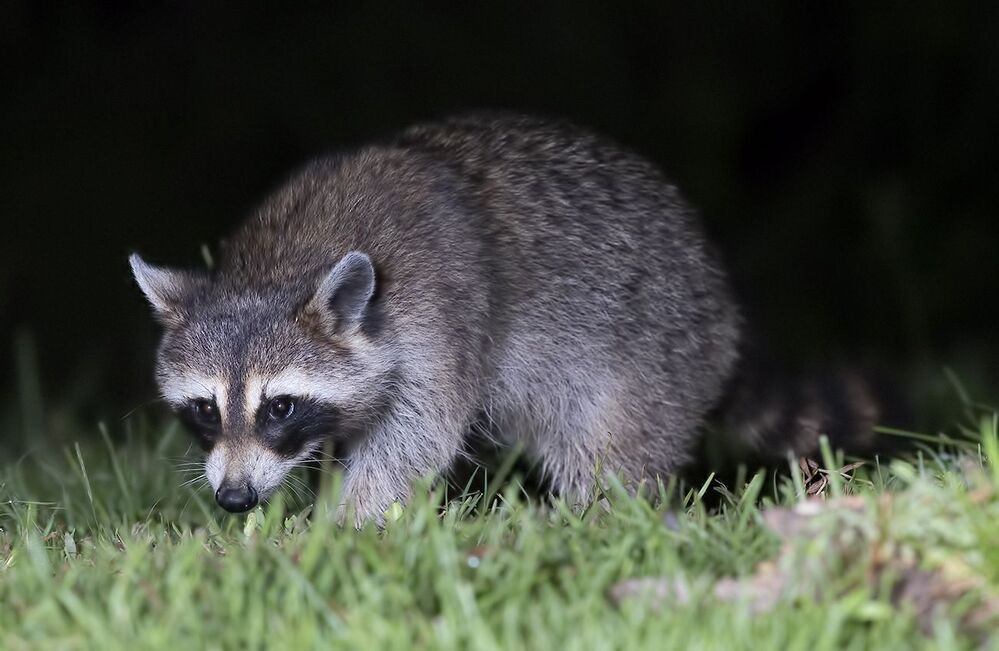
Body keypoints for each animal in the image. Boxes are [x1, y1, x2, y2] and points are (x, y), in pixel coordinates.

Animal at [130, 113, 878, 523]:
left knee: (609, 448)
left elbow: (415, 440)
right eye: (205, 410)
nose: (233, 498)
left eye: (279, 406)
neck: (279, 266)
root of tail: (723, 303)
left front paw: (345, 526)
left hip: (660, 346)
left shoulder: (441, 315)